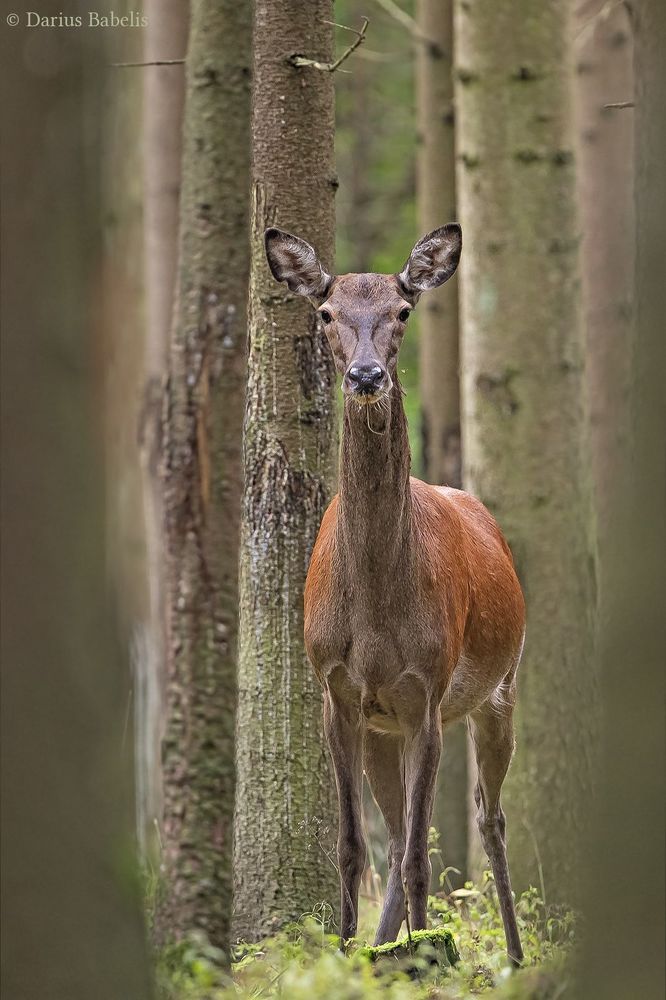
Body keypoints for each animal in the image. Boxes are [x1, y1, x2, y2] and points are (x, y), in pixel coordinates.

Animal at [265, 223, 526, 967]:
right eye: (326, 313)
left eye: (403, 311)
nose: (365, 377)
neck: (380, 608)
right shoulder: (337, 689)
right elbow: (356, 847)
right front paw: (353, 954)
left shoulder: (428, 692)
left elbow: (414, 857)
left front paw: (428, 949)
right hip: (385, 727)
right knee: (401, 822)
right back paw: (390, 945)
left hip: (500, 687)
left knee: (487, 815)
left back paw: (514, 956)